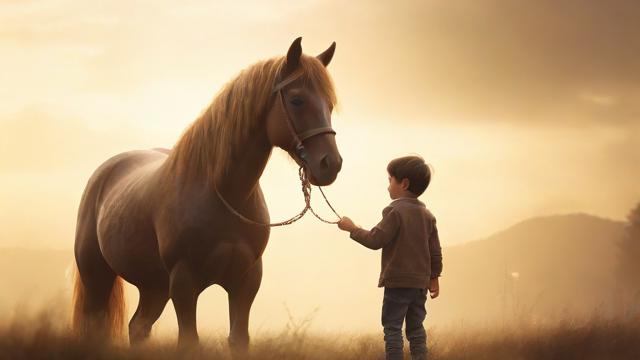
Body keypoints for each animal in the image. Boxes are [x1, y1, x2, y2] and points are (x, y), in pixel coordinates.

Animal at [72, 37, 342, 354]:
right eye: (297, 100)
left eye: (330, 104)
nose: (330, 164)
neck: (222, 194)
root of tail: (106, 171)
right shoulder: (184, 282)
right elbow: (189, 341)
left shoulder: (246, 281)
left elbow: (238, 340)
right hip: (97, 278)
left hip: (154, 286)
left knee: (138, 327)